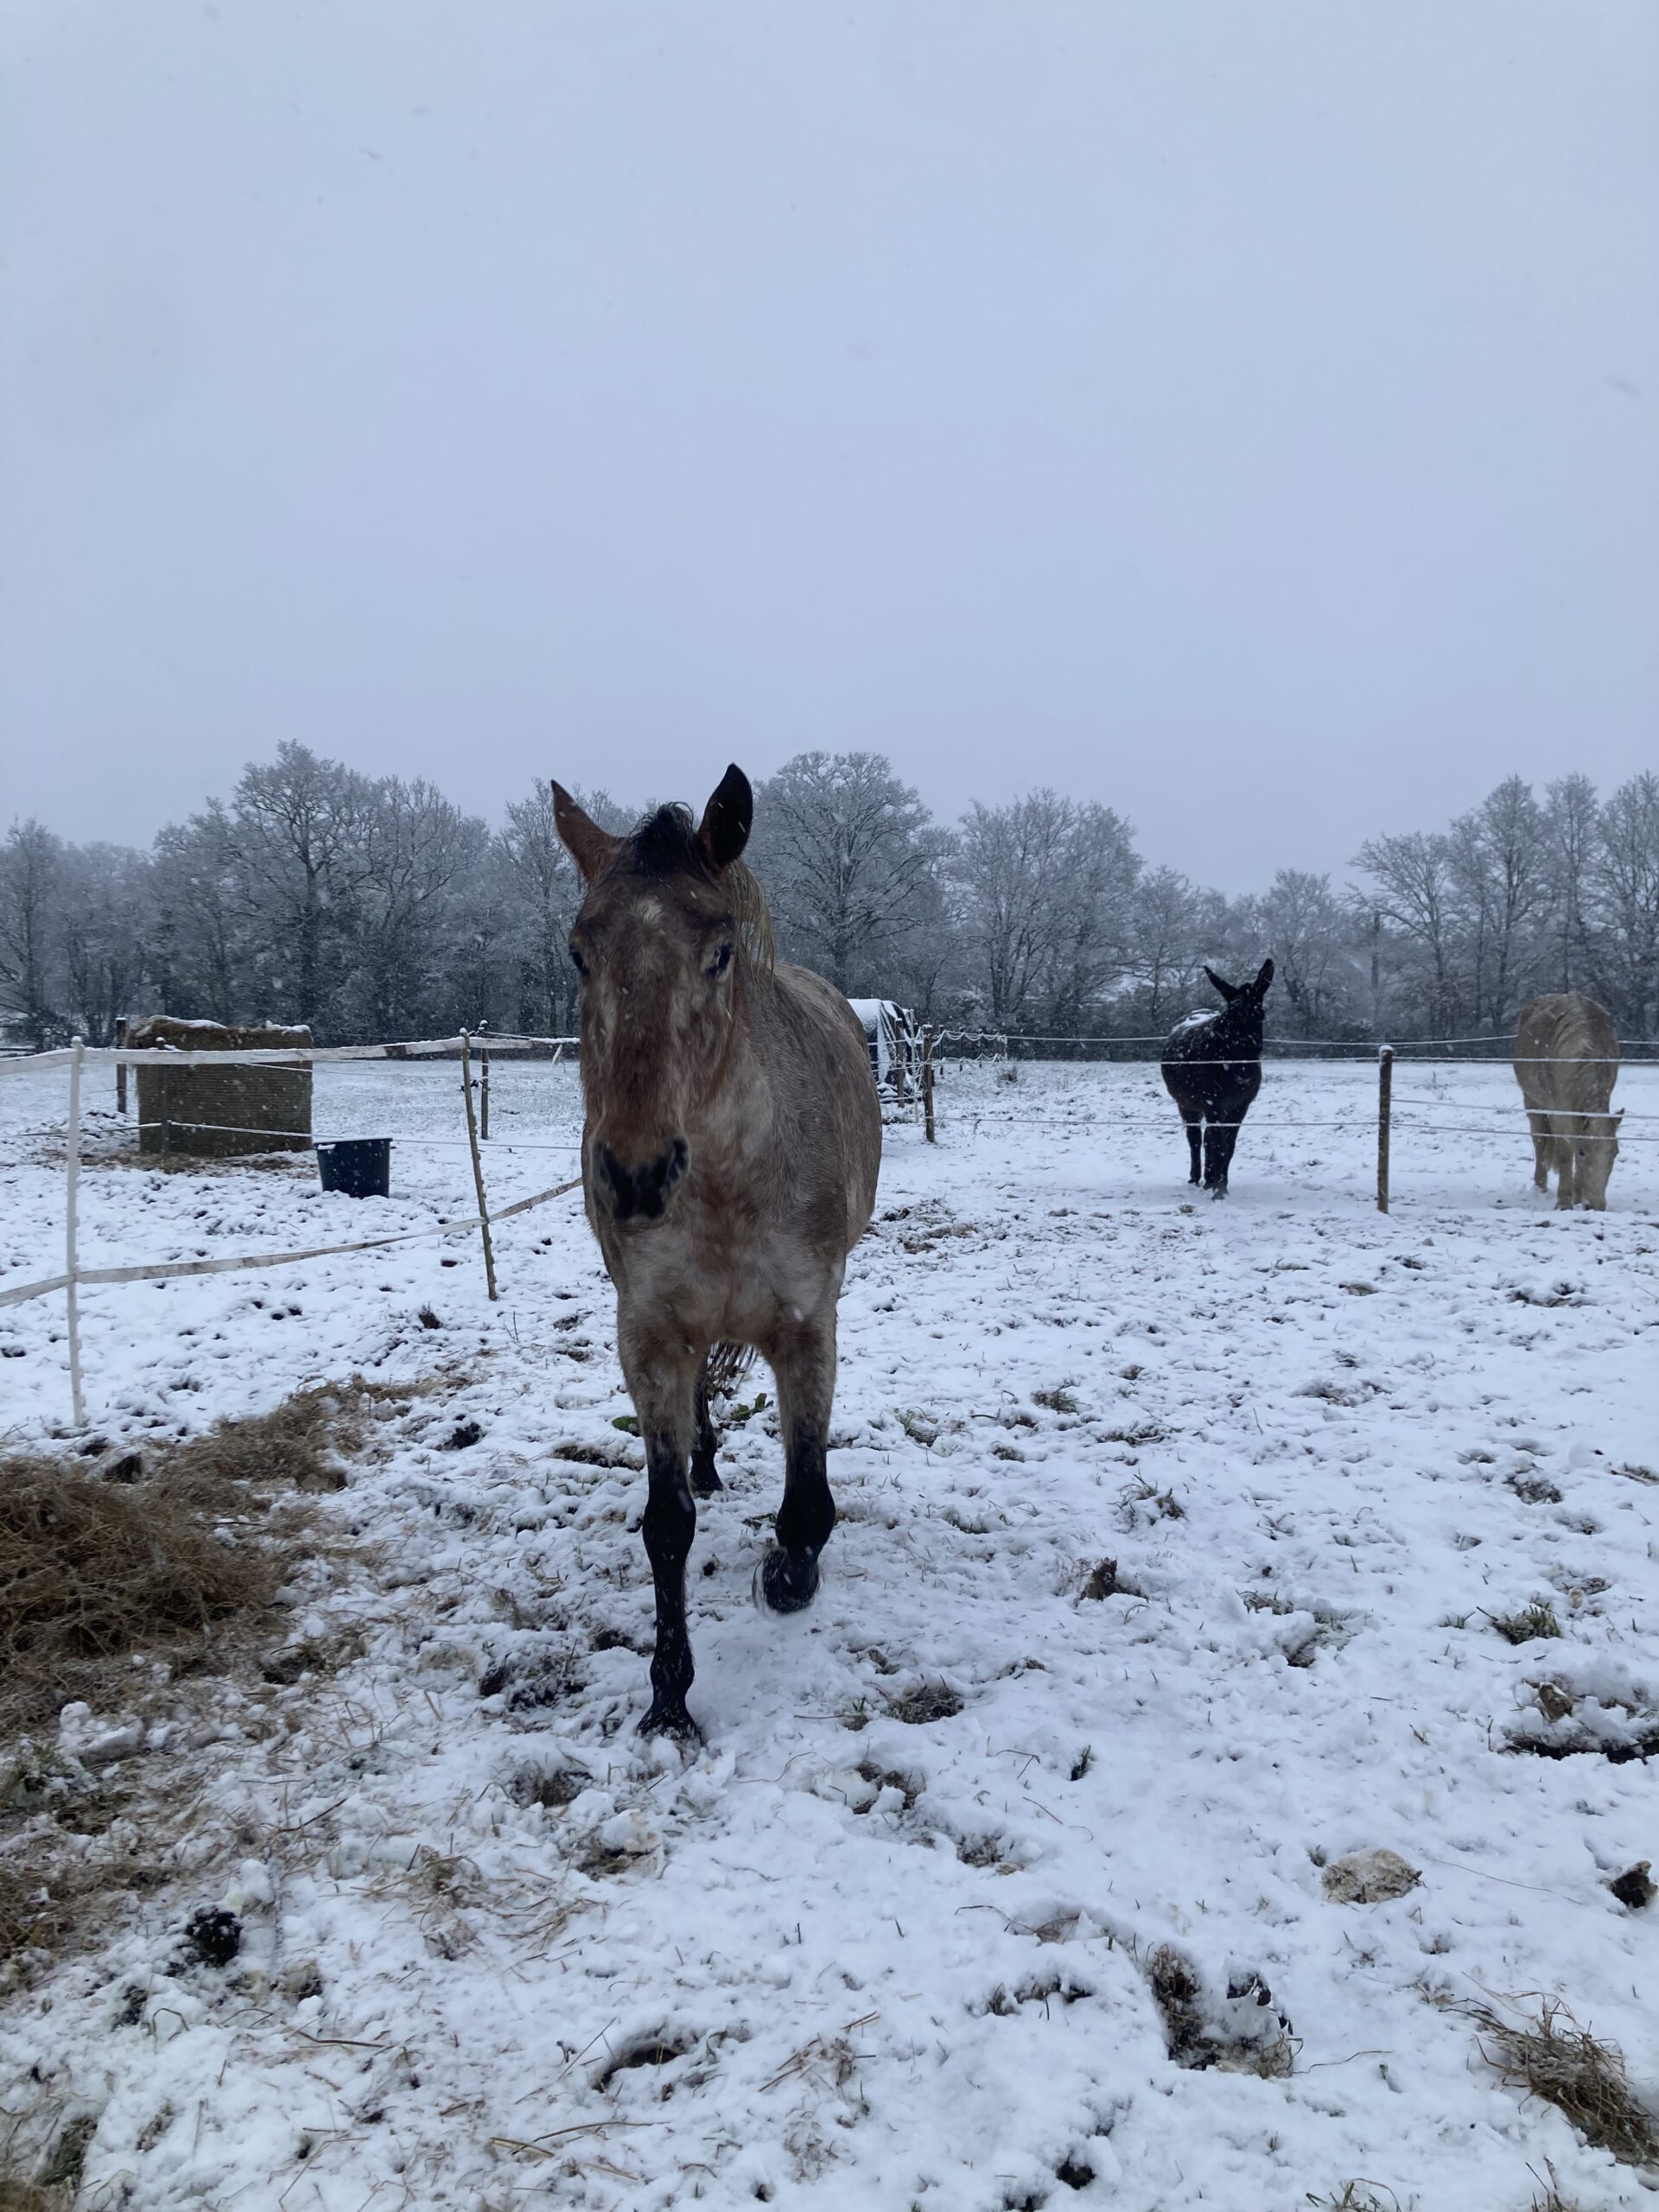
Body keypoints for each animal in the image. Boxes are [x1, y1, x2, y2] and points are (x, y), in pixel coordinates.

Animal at [552, 765, 882, 1738]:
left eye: (720, 952)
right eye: (580, 953)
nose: (634, 1172)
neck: (730, 1186)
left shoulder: (809, 1326)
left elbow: (808, 1502)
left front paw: (786, 1577)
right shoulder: (651, 1334)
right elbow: (668, 1522)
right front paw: (669, 1700)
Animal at [1160, 960, 1275, 1197]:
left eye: (1259, 1015)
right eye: (1227, 1017)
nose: (1243, 1071)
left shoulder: (1240, 1107)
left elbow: (1227, 1145)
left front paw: (1220, 1183)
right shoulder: (1213, 1103)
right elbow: (1219, 1144)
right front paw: (1219, 1190)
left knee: (1207, 1138)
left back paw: (1209, 1178)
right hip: (1187, 1104)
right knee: (1195, 1139)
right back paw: (1196, 1178)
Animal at [1512, 992, 1622, 1210]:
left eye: (1615, 1153)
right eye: (1582, 1152)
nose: (1596, 1206)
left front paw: (1577, 1198)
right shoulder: (1558, 1109)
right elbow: (1564, 1152)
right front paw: (1564, 1202)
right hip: (1533, 1102)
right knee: (1539, 1142)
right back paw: (1540, 1187)